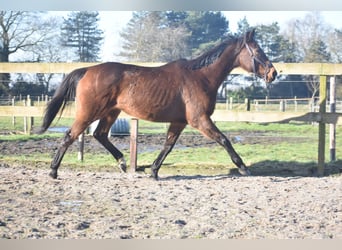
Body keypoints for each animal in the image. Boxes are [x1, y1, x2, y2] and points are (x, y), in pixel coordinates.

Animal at [38, 29, 278, 180]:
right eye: (258, 51)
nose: (273, 73)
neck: (200, 77)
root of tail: (87, 70)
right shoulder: (199, 119)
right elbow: (224, 139)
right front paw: (244, 168)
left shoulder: (179, 122)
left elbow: (168, 145)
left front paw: (153, 171)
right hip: (89, 113)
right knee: (70, 136)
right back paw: (53, 171)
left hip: (110, 112)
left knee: (100, 135)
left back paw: (123, 163)